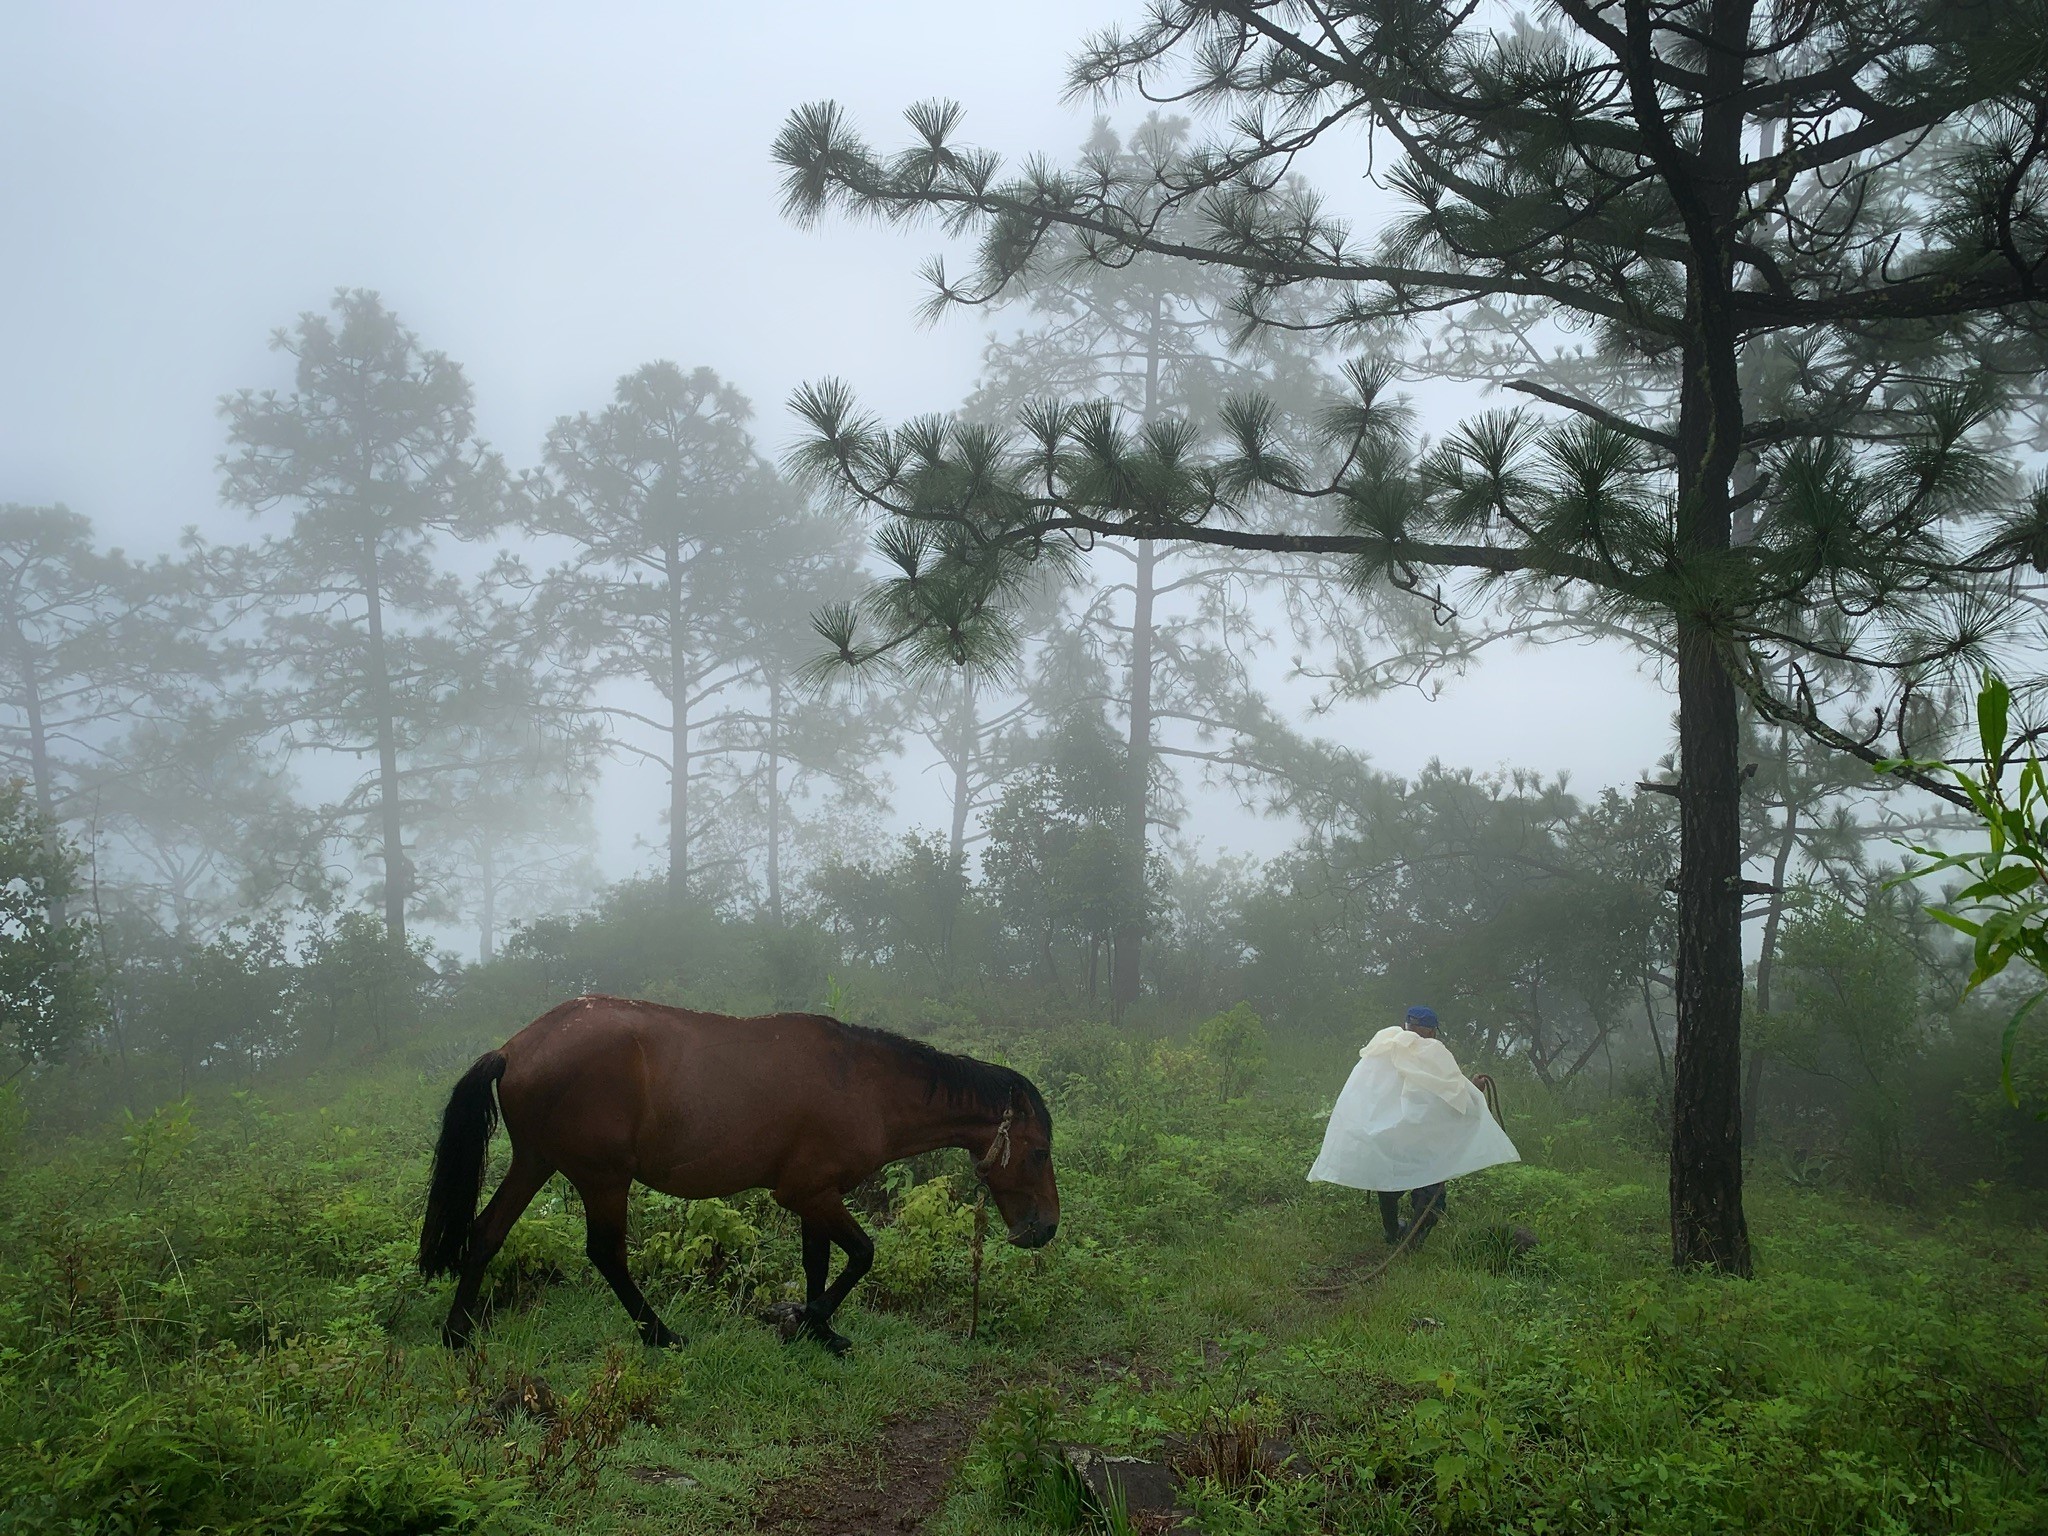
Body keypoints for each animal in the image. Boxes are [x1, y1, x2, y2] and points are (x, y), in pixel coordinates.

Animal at [413, 991, 1056, 1351]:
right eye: (1039, 1152)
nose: (1045, 1228)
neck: (864, 1085)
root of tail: (515, 1047)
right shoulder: (807, 1193)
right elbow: (861, 1255)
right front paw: (803, 1321)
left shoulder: (815, 1194)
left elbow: (819, 1262)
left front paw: (821, 1333)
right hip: (602, 1178)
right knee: (607, 1255)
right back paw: (660, 1334)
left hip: (536, 1161)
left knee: (486, 1233)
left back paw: (457, 1333)